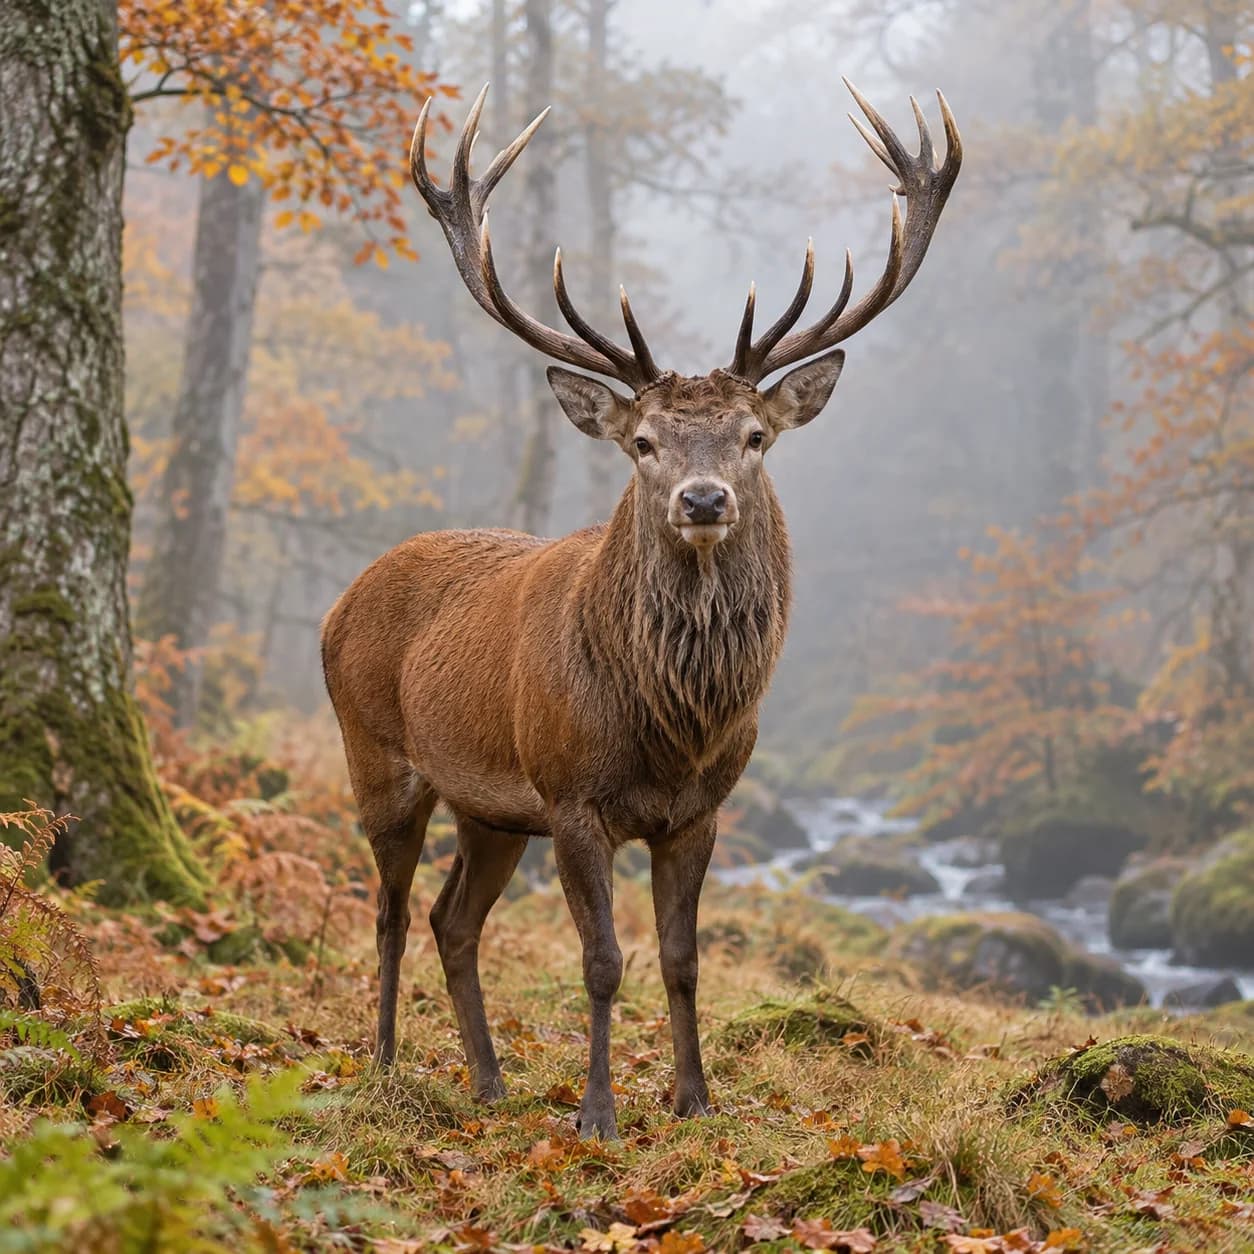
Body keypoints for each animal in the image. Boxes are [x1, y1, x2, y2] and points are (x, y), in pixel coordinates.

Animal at [321, 80, 961, 1139]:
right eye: (644, 442)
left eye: (754, 435)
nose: (703, 500)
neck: (673, 726)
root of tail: (338, 603)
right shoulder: (573, 796)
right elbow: (602, 962)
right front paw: (598, 1114)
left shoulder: (700, 811)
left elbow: (681, 959)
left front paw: (695, 1100)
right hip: (379, 757)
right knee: (387, 913)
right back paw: (380, 1066)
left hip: (493, 810)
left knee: (453, 920)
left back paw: (490, 1081)